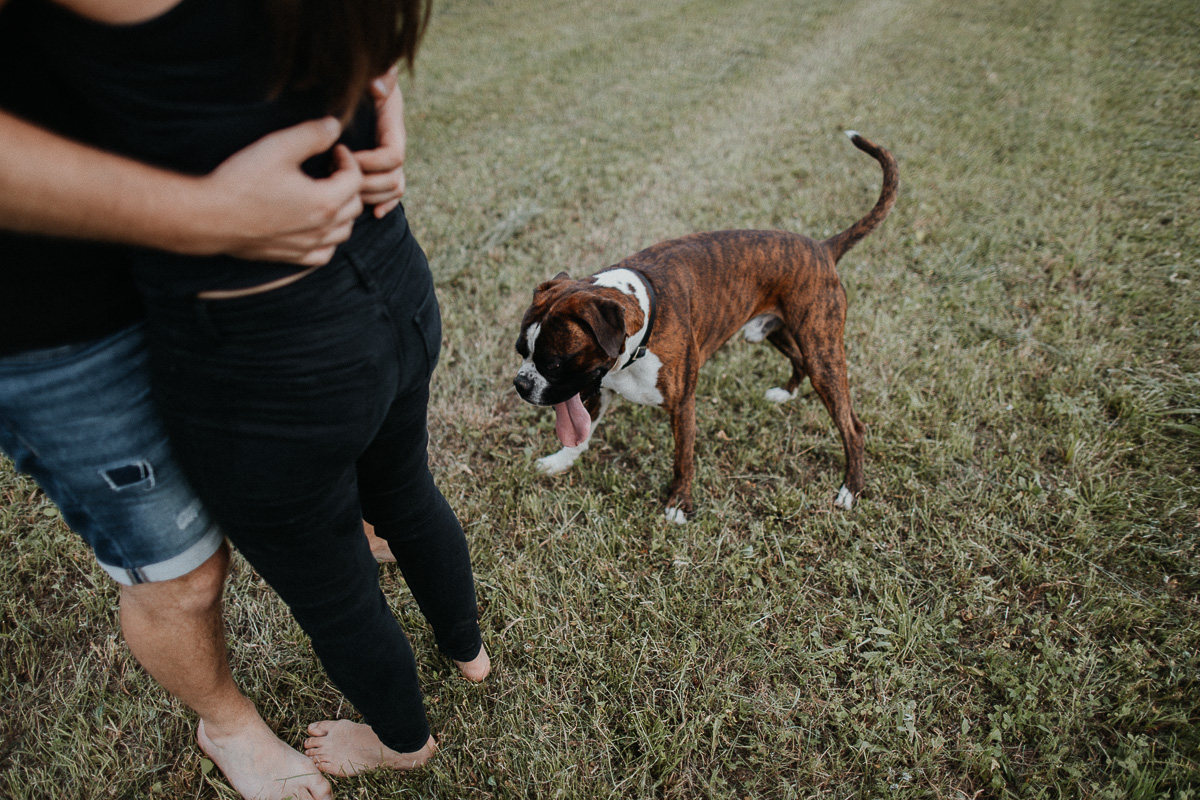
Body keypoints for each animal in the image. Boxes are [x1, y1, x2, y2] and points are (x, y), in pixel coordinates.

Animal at [511, 131, 897, 522]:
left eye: (554, 363)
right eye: (521, 352)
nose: (521, 384)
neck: (642, 328)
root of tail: (822, 248)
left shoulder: (682, 406)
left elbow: (683, 460)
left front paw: (678, 504)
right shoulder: (599, 389)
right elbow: (581, 434)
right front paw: (561, 461)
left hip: (822, 351)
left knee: (853, 426)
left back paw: (851, 488)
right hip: (776, 331)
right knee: (798, 360)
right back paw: (786, 394)